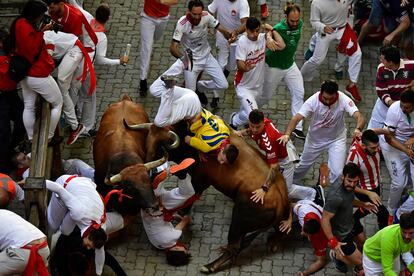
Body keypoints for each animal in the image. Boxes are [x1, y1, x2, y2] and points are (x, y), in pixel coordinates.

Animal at [128, 123, 290, 274]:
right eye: (146, 141)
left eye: (160, 147)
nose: (148, 168)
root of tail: (280, 201)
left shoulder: (200, 180)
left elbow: (191, 195)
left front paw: (180, 213)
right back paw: (274, 242)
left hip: (238, 221)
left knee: (234, 246)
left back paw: (209, 266)